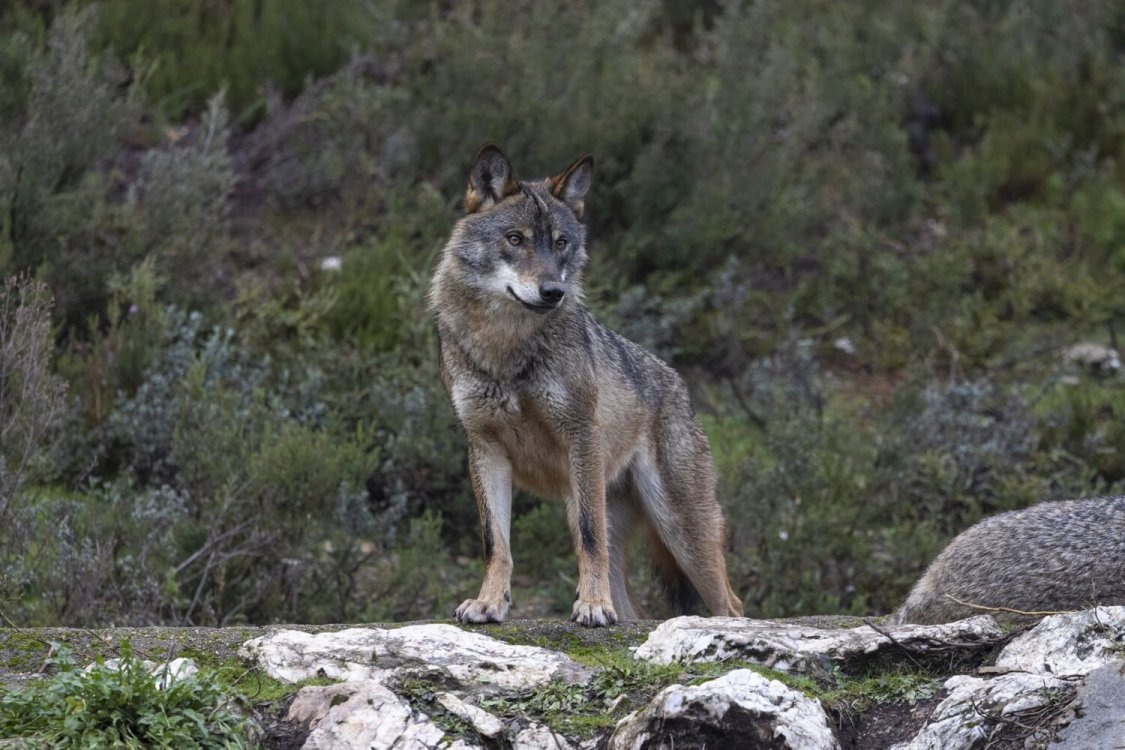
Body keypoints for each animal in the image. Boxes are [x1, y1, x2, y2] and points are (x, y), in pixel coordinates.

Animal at [432, 143, 747, 625]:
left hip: (681, 533)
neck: (506, 349)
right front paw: (489, 602)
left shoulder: (580, 436)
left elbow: (588, 537)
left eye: (561, 243)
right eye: (515, 239)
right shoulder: (485, 447)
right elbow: (495, 542)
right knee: (635, 610)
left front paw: (592, 605)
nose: (552, 292)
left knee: (733, 604)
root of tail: (679, 385)